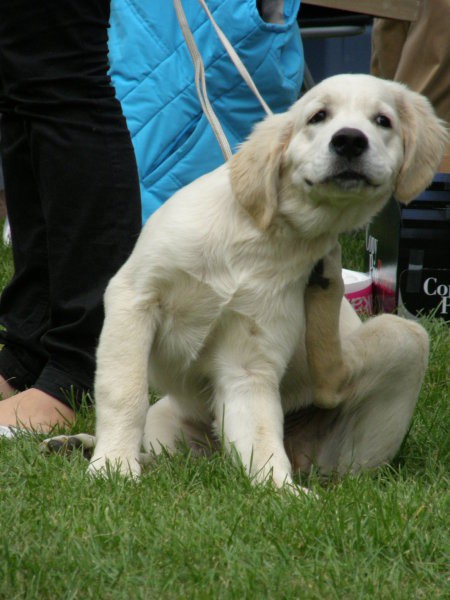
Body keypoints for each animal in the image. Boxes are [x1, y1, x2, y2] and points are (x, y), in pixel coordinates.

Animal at [44, 74, 446, 492]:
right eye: (318, 116)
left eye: (383, 121)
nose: (350, 140)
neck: (263, 234)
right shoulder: (134, 297)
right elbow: (125, 390)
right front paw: (114, 465)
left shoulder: (248, 360)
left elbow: (260, 435)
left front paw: (282, 491)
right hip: (167, 420)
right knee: (173, 461)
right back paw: (77, 444)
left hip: (402, 343)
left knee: (332, 389)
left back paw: (326, 286)